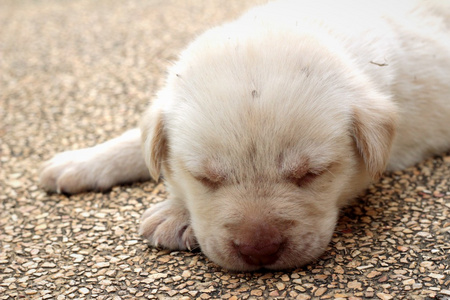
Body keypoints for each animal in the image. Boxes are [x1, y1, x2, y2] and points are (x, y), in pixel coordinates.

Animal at [39, 0, 450, 270]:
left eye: (311, 174)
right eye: (205, 178)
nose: (259, 252)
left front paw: (175, 215)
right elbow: (137, 144)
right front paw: (81, 162)